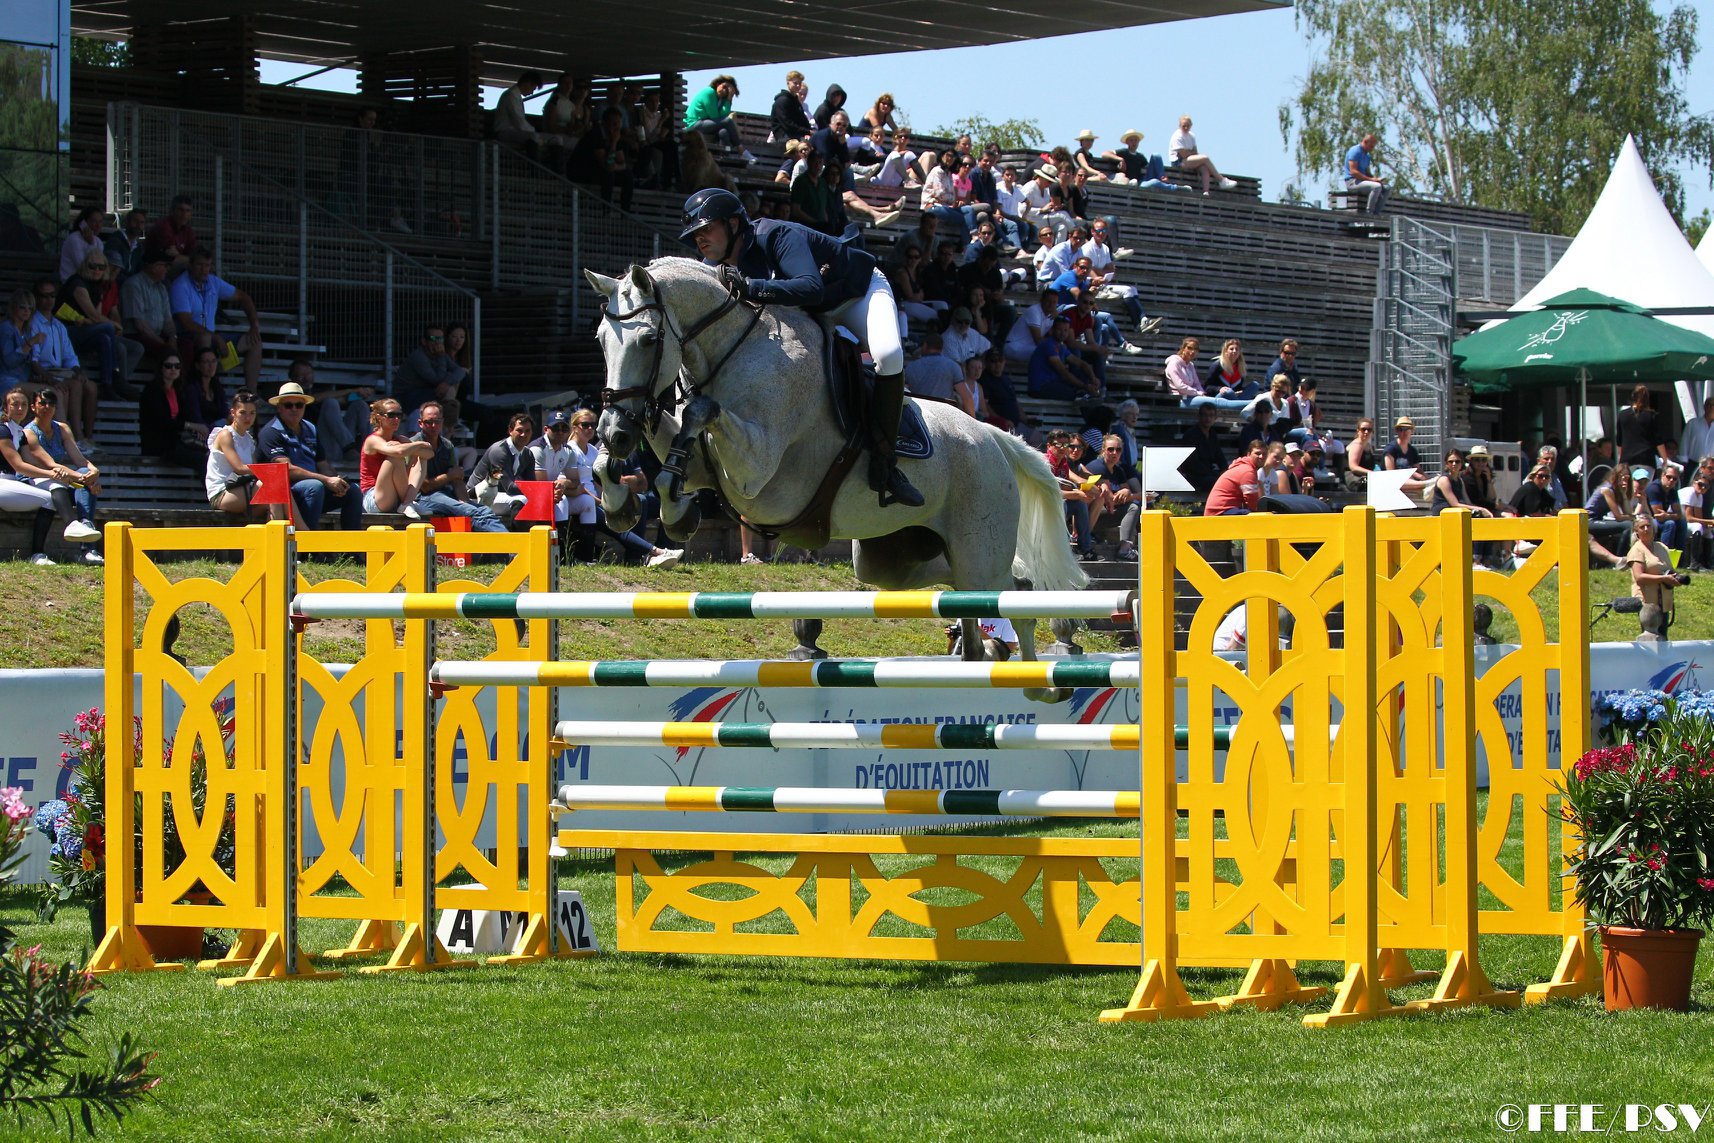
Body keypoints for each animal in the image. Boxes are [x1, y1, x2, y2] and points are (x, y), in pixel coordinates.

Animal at [586, 258, 1083, 685]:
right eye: (600, 341)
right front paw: (623, 504)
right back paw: (992, 655)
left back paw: (1040, 682)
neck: (735, 350)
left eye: (648, 341)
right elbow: (638, 458)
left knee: (1011, 594)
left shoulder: (756, 475)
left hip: (979, 547)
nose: (615, 432)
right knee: (969, 597)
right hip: (894, 561)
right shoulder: (707, 468)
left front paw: (674, 512)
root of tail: (993, 436)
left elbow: (700, 413)